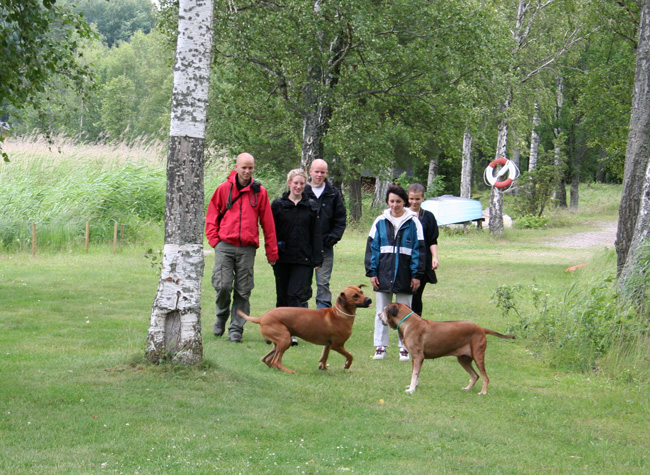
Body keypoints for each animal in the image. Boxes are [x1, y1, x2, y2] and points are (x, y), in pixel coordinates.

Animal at [238, 286, 370, 376]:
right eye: (355, 296)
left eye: (361, 292)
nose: (369, 300)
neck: (339, 314)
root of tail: (262, 318)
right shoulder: (338, 345)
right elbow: (350, 355)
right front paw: (347, 365)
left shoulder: (328, 344)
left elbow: (325, 356)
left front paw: (323, 367)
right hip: (284, 339)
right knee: (276, 361)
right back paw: (289, 371)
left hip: (280, 342)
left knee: (266, 359)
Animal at [378, 304, 512, 396]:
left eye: (384, 309)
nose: (379, 315)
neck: (408, 323)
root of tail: (481, 328)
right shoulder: (415, 359)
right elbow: (415, 374)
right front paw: (414, 386)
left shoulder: (418, 357)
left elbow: (414, 374)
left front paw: (411, 389)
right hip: (463, 360)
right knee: (475, 375)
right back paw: (467, 388)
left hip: (478, 356)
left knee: (485, 377)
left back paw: (483, 392)